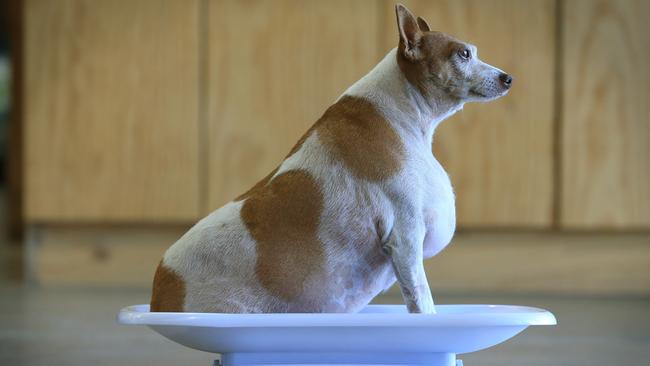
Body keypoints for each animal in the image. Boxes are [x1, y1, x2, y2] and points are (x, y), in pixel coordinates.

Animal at [152, 3, 512, 314]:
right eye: (463, 54)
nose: (508, 78)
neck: (403, 113)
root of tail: (161, 291)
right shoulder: (405, 236)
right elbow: (421, 300)